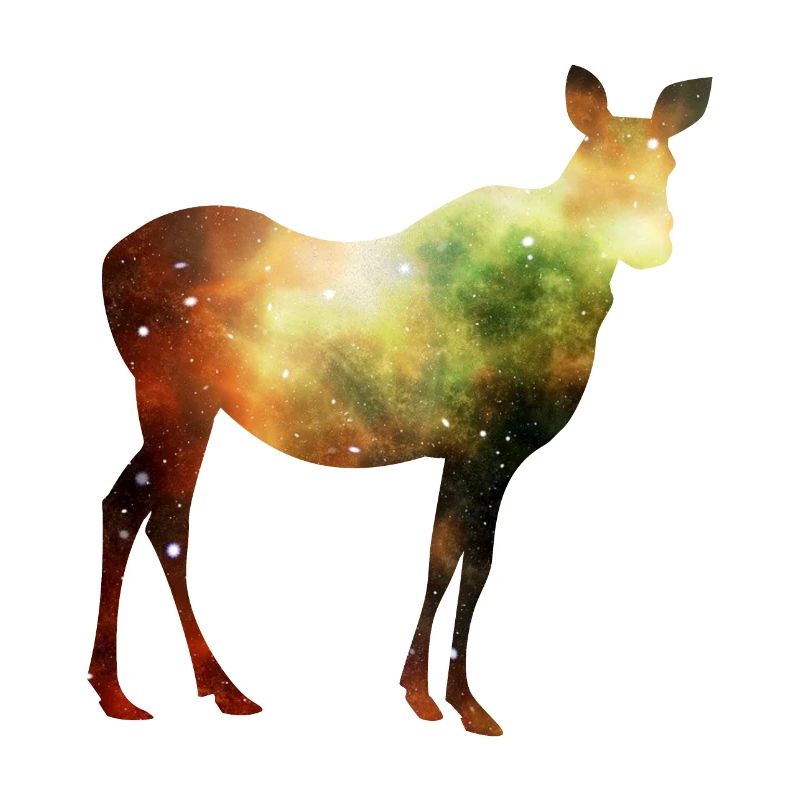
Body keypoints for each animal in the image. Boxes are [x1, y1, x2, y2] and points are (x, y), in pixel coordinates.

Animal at [89, 66, 711, 735]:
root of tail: (105, 263)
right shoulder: (485, 444)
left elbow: (457, 559)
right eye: (597, 158)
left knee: (126, 504)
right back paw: (214, 686)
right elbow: (463, 561)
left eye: (669, 162)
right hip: (180, 398)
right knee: (167, 518)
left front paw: (438, 694)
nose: (650, 242)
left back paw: (122, 688)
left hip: (180, 406)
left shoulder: (475, 451)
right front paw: (447, 699)